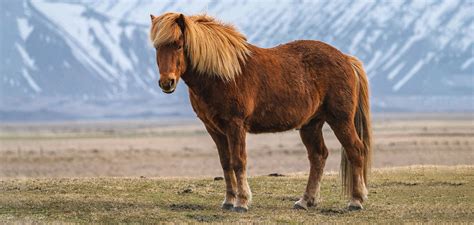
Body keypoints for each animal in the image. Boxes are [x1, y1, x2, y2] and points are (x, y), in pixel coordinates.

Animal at [148, 12, 370, 213]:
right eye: (157, 47)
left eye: (178, 44)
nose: (166, 82)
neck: (222, 74)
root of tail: (346, 58)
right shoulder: (214, 129)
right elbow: (225, 163)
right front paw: (228, 201)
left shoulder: (235, 125)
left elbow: (238, 161)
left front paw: (242, 202)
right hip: (311, 125)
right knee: (318, 156)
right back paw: (305, 201)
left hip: (340, 120)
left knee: (355, 150)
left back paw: (356, 201)